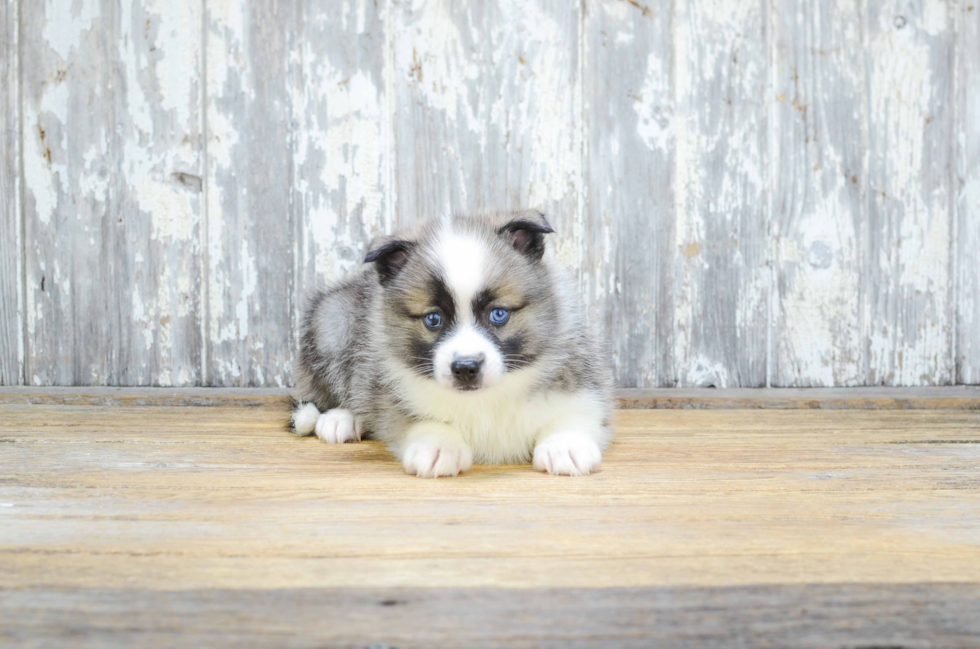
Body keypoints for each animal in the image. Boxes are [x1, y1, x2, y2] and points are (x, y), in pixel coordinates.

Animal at [290, 209, 612, 476]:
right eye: (433, 319)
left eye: (498, 314)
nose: (466, 368)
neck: (485, 398)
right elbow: (415, 417)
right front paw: (438, 444)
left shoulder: (578, 373)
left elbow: (574, 412)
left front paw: (565, 445)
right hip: (332, 320)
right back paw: (340, 419)